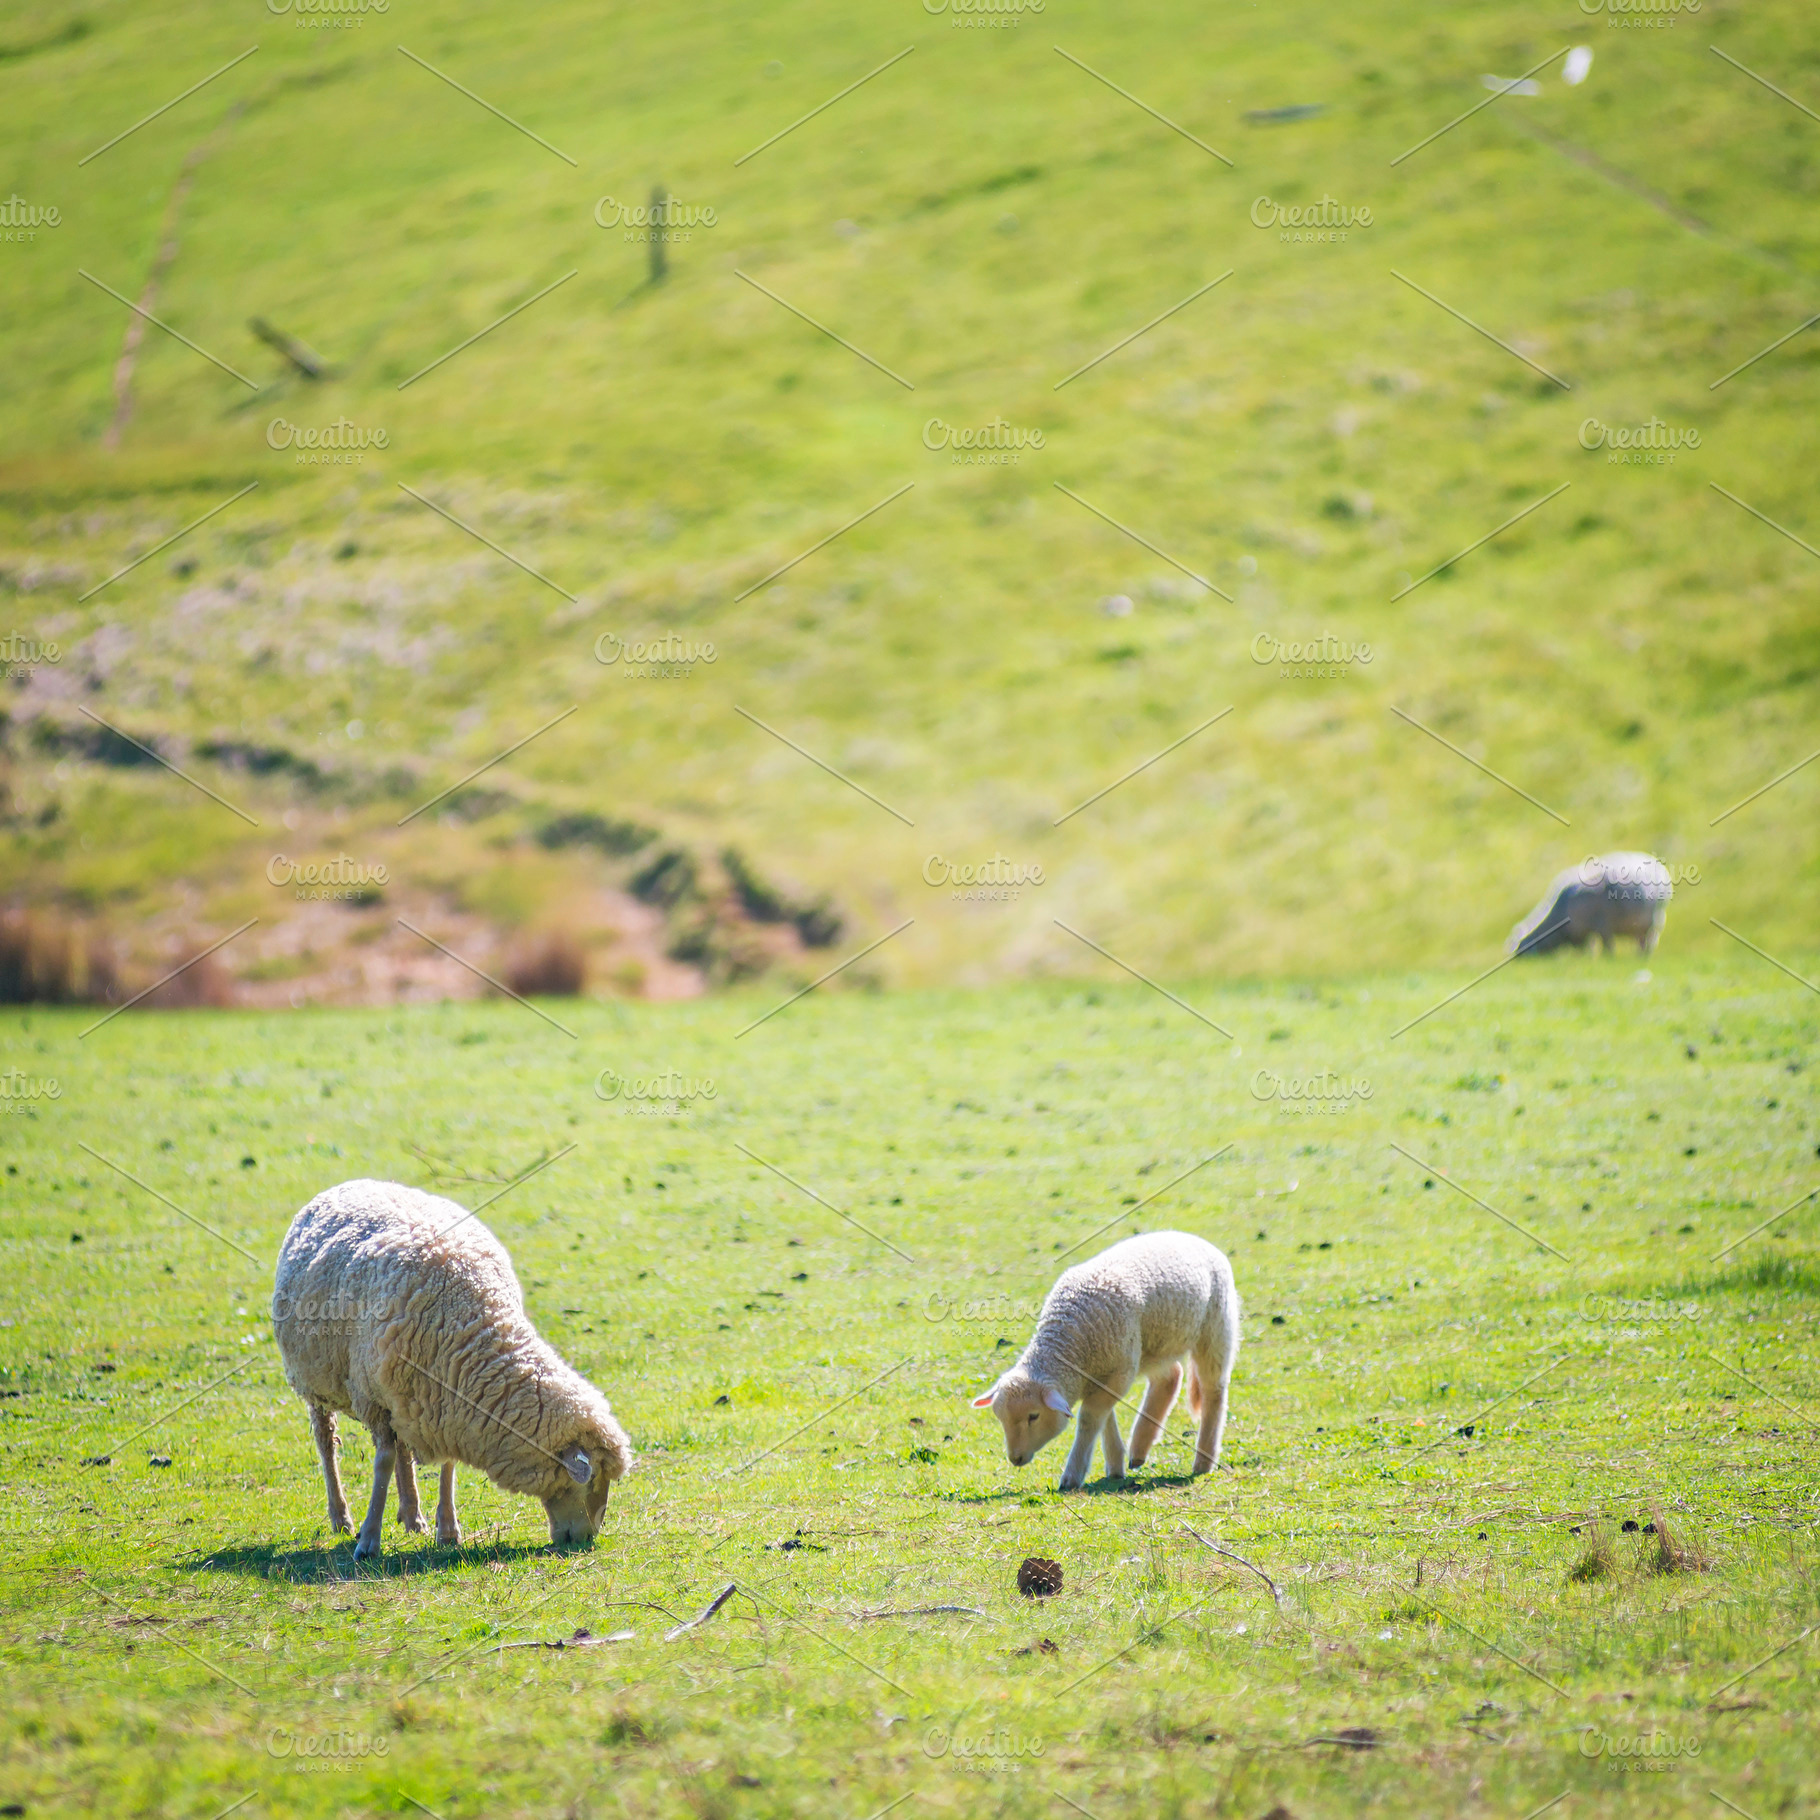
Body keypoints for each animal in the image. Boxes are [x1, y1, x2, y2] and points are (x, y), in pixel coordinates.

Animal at [272, 1179, 632, 1560]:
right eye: (593, 1479)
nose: (587, 1538)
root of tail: (351, 1182)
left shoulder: (443, 1398)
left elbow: (446, 1464)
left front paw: (447, 1530)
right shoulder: (376, 1397)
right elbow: (382, 1462)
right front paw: (369, 1540)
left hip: (403, 1396)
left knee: (402, 1450)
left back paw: (412, 1514)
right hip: (316, 1381)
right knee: (327, 1443)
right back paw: (341, 1517)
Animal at [971, 1231, 1240, 1492]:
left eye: (1034, 1416)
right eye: (1000, 1417)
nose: (1015, 1458)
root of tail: (1196, 1239)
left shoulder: (1118, 1372)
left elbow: (1090, 1418)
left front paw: (1072, 1475)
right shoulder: (1100, 1374)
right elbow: (1103, 1417)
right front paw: (1115, 1466)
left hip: (1215, 1329)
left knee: (1214, 1391)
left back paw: (1204, 1461)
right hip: (1154, 1345)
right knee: (1170, 1377)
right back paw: (1139, 1450)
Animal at [1507, 852, 1672, 957]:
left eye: (1522, 943)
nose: (1516, 957)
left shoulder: (1601, 924)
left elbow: (1606, 944)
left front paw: (1607, 957)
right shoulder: (1580, 932)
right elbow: (1585, 948)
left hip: (1656, 919)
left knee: (1651, 940)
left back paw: (1643, 956)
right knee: (1642, 940)